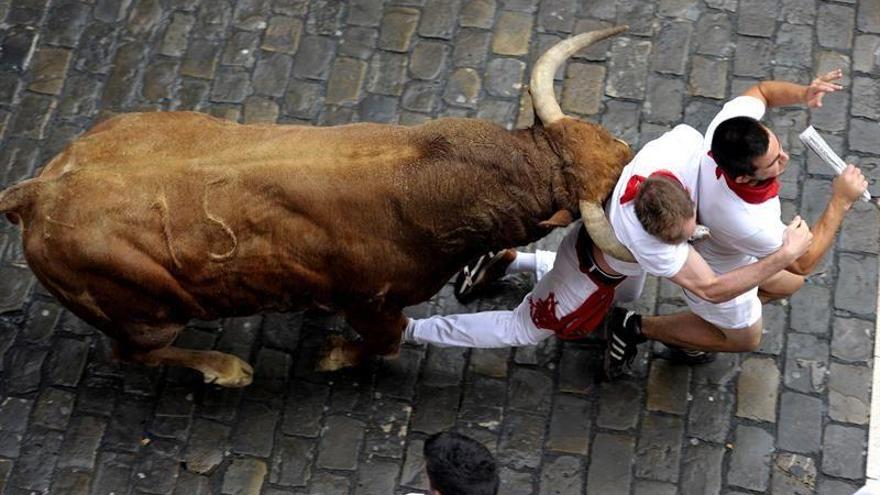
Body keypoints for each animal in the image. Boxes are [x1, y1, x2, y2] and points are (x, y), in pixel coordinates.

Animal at [0, 27, 632, 388]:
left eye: (612, 140)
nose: (633, 157)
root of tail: (35, 192)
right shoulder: (373, 301)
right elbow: (388, 340)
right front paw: (331, 357)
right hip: (147, 314)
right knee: (133, 355)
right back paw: (227, 370)